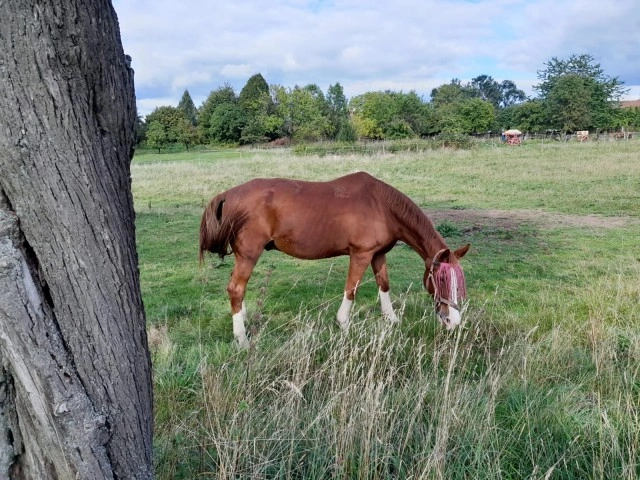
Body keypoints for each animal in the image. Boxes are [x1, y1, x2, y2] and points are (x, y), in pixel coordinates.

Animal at [199, 172, 470, 347]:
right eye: (441, 279)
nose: (453, 322)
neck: (382, 206)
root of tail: (228, 194)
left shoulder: (378, 254)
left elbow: (384, 285)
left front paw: (391, 319)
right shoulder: (360, 254)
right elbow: (351, 289)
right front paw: (344, 324)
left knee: (238, 290)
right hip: (249, 254)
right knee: (236, 289)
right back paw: (242, 339)